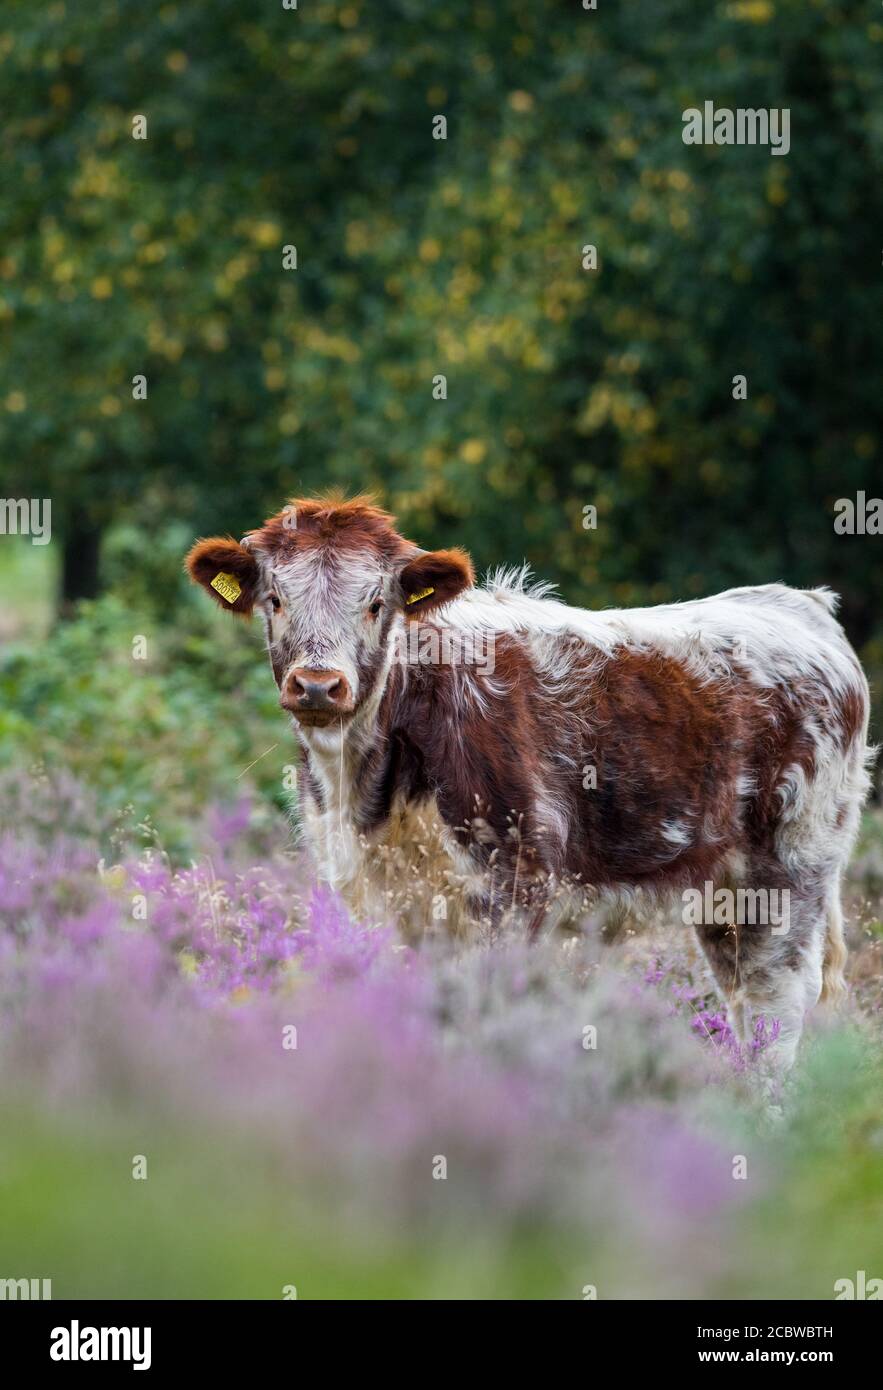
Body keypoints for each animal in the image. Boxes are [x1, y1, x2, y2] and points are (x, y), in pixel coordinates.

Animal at [187, 494, 873, 1069]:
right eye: (276, 599)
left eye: (376, 603)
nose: (318, 685)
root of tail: (798, 604)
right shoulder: (366, 890)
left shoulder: (515, 885)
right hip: (720, 885)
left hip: (791, 865)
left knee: (775, 1002)